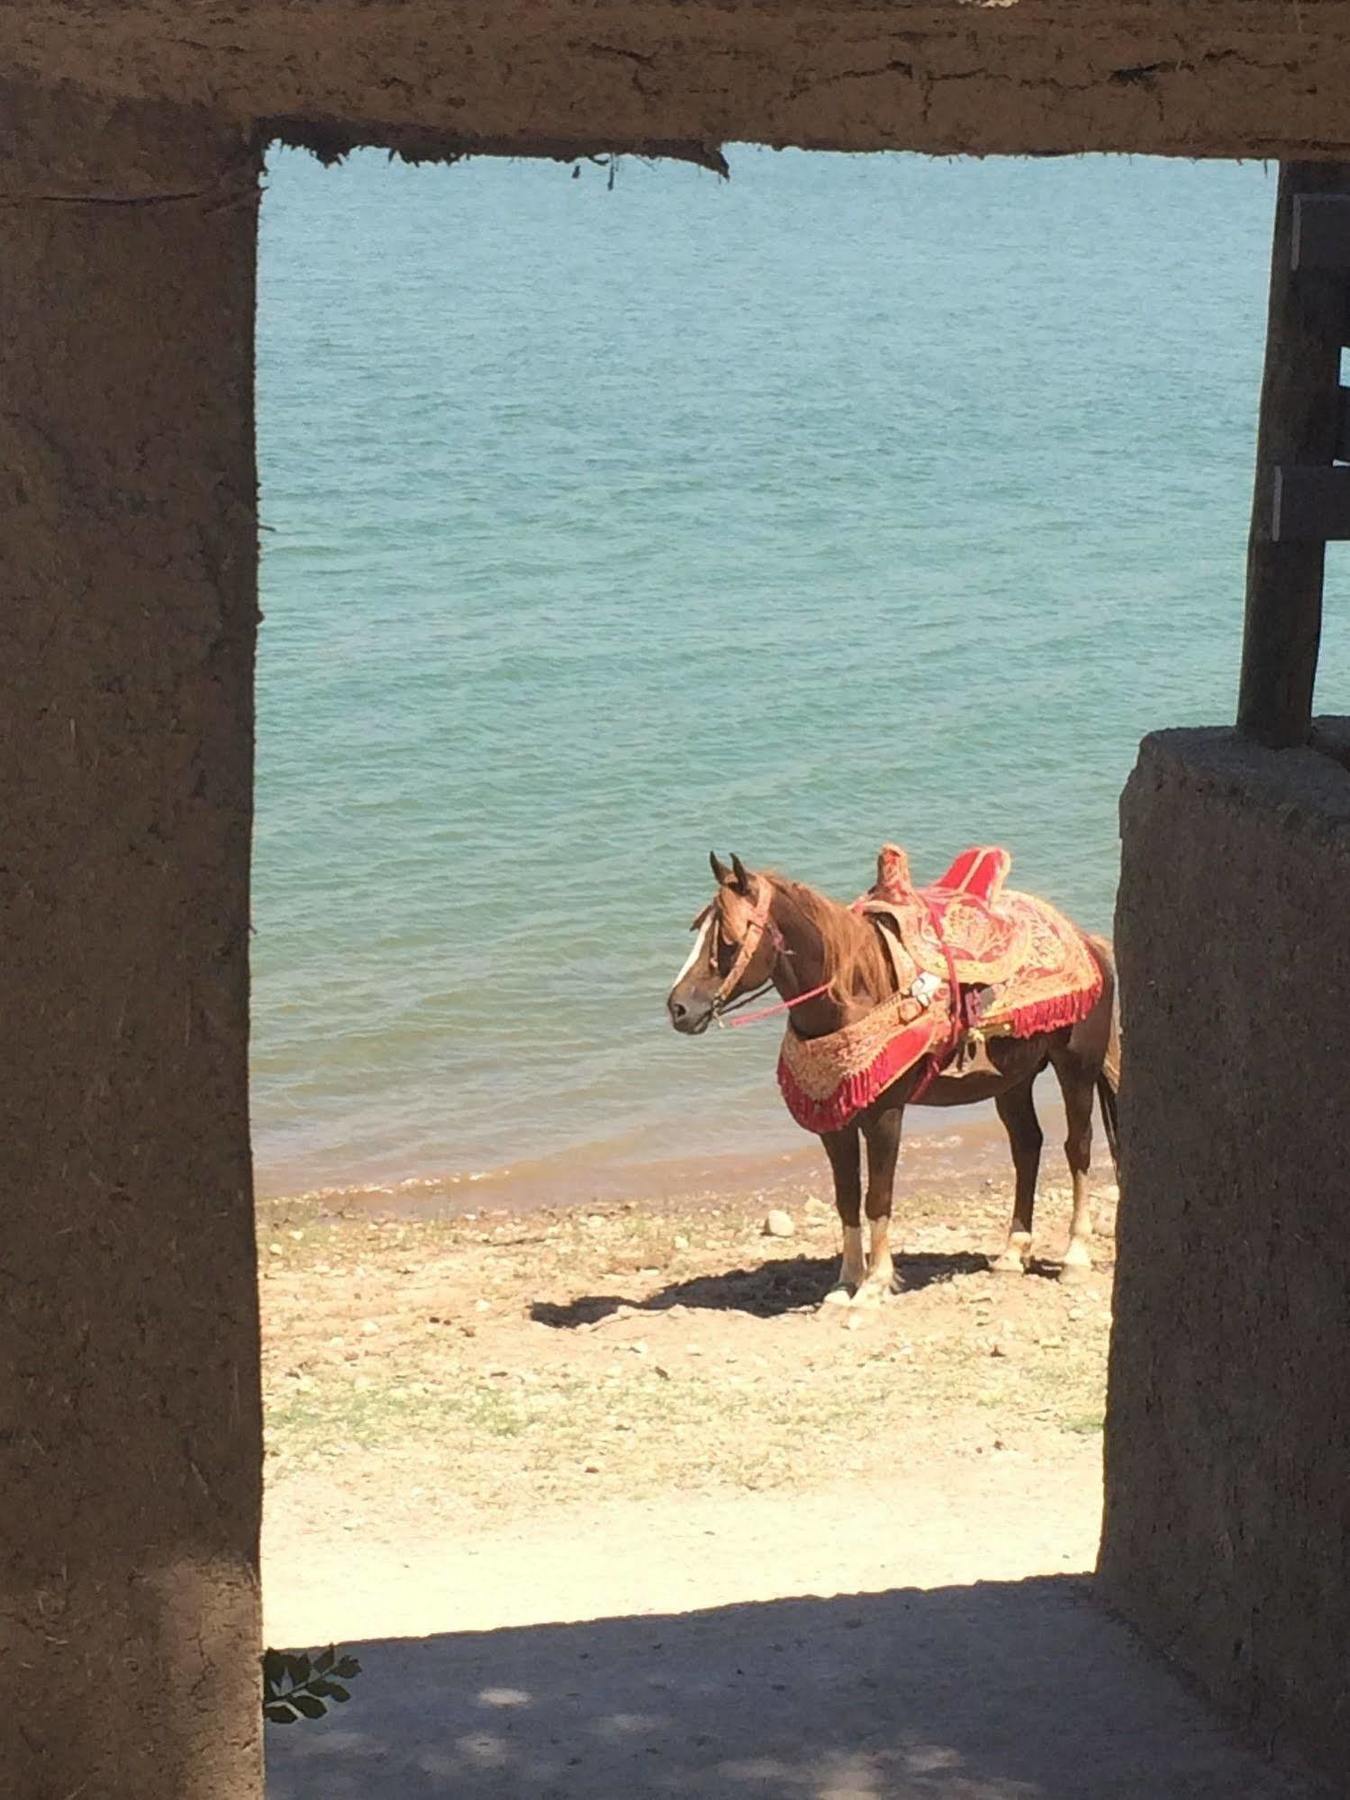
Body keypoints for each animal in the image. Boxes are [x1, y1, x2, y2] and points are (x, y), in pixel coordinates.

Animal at [666, 853, 1123, 1310]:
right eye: (700, 928)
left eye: (728, 938)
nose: (678, 1008)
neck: (858, 991)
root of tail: (1089, 942)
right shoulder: (835, 1123)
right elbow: (847, 1198)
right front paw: (845, 1283)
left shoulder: (885, 1116)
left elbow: (877, 1198)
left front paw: (875, 1283)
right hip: (1013, 1080)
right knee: (1027, 1147)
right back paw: (1012, 1253)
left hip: (1076, 1068)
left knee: (1078, 1148)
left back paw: (1074, 1257)